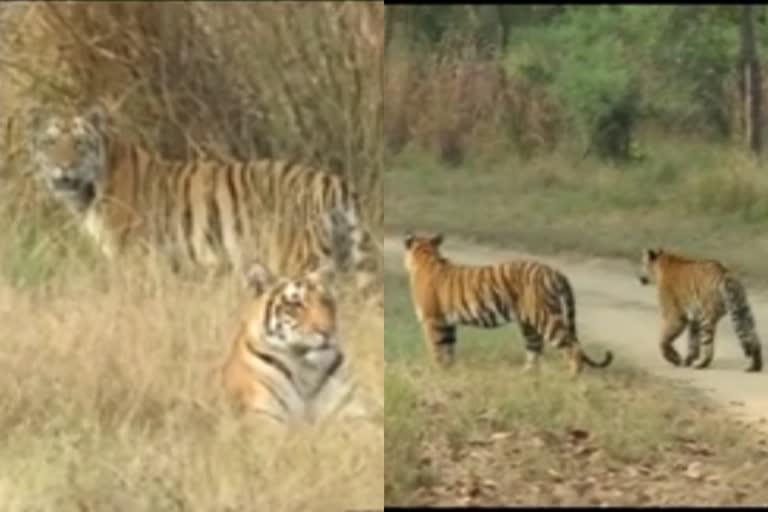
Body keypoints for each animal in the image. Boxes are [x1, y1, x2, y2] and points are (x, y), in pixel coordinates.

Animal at [27, 106, 380, 302]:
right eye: (50, 143)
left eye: (78, 144)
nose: (63, 167)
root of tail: (332, 181)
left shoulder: (134, 260)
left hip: (299, 265)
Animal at [220, 260, 370, 424]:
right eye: (296, 305)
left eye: (326, 302)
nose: (327, 331)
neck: (306, 369)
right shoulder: (262, 414)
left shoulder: (352, 411)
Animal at [402, 232, 612, 376]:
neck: (426, 256)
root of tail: (553, 271)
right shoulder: (447, 324)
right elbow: (448, 349)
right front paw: (449, 370)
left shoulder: (433, 320)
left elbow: (436, 349)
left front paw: (436, 370)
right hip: (529, 324)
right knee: (535, 349)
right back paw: (526, 375)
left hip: (545, 317)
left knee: (573, 347)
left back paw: (572, 377)